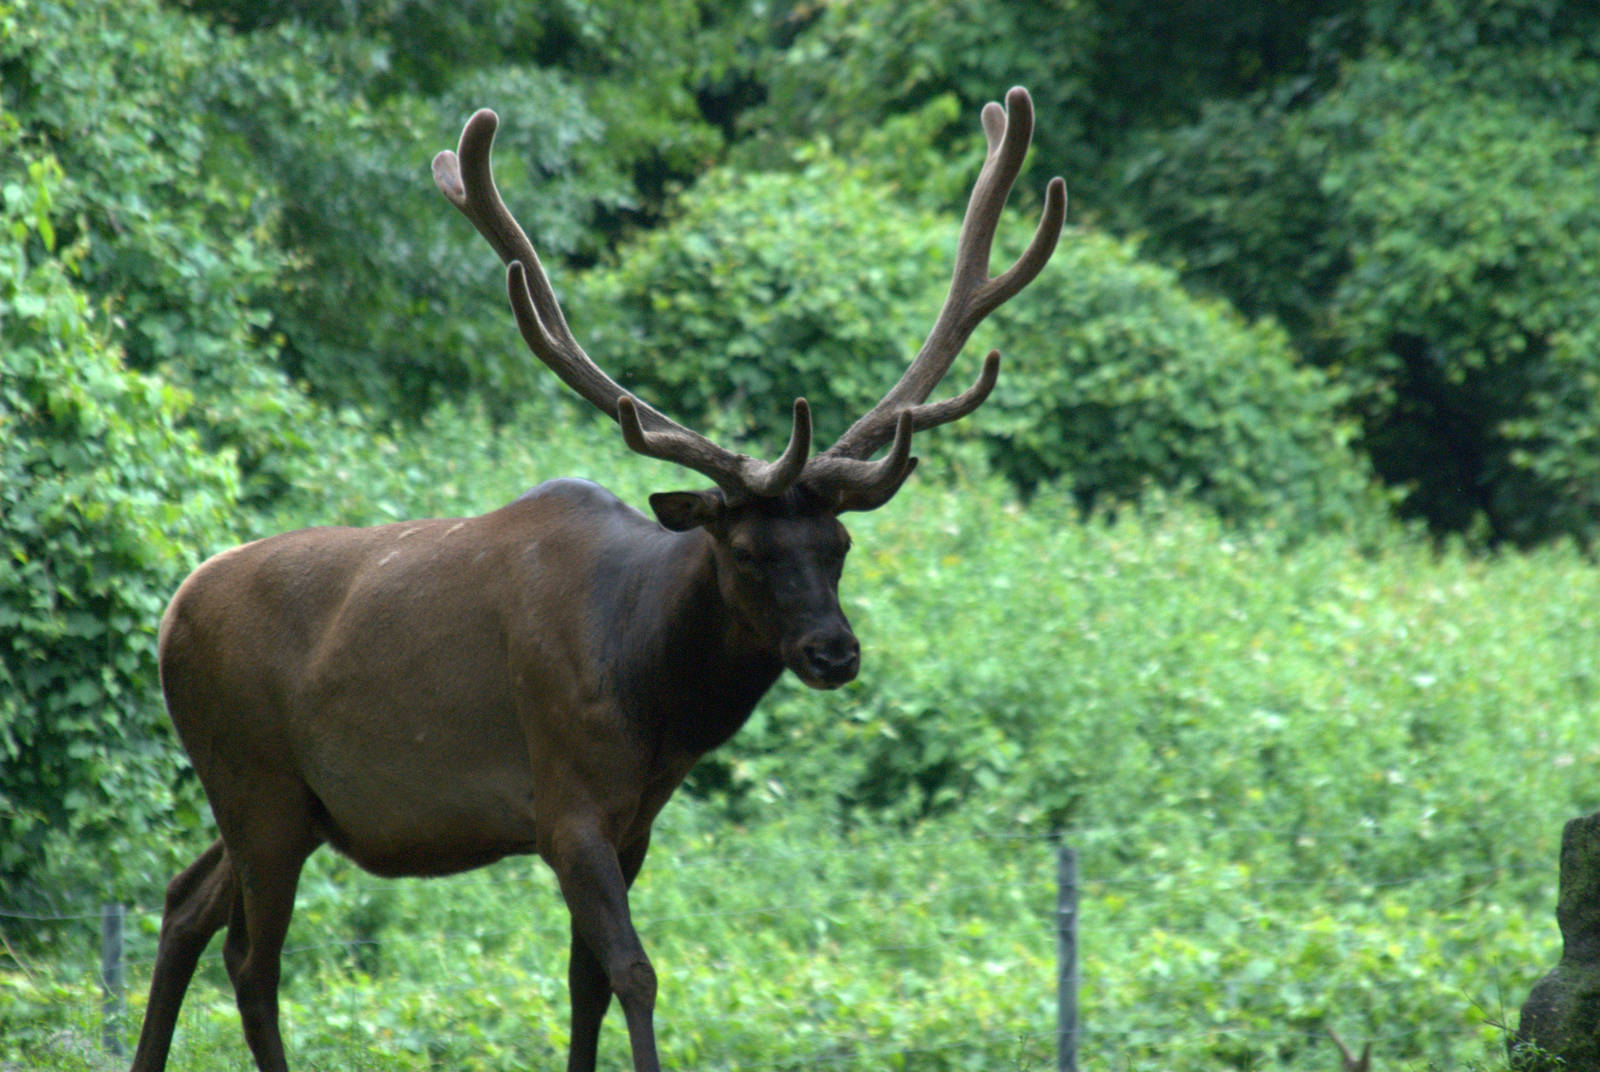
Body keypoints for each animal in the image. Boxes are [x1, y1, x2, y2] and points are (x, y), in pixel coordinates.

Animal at [127, 87, 1065, 1072]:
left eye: (840, 543)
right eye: (746, 551)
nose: (833, 652)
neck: (655, 698)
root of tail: (170, 615)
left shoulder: (633, 822)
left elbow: (585, 986)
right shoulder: (566, 802)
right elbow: (635, 973)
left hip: (278, 801)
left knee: (183, 904)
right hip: (254, 779)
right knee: (250, 958)